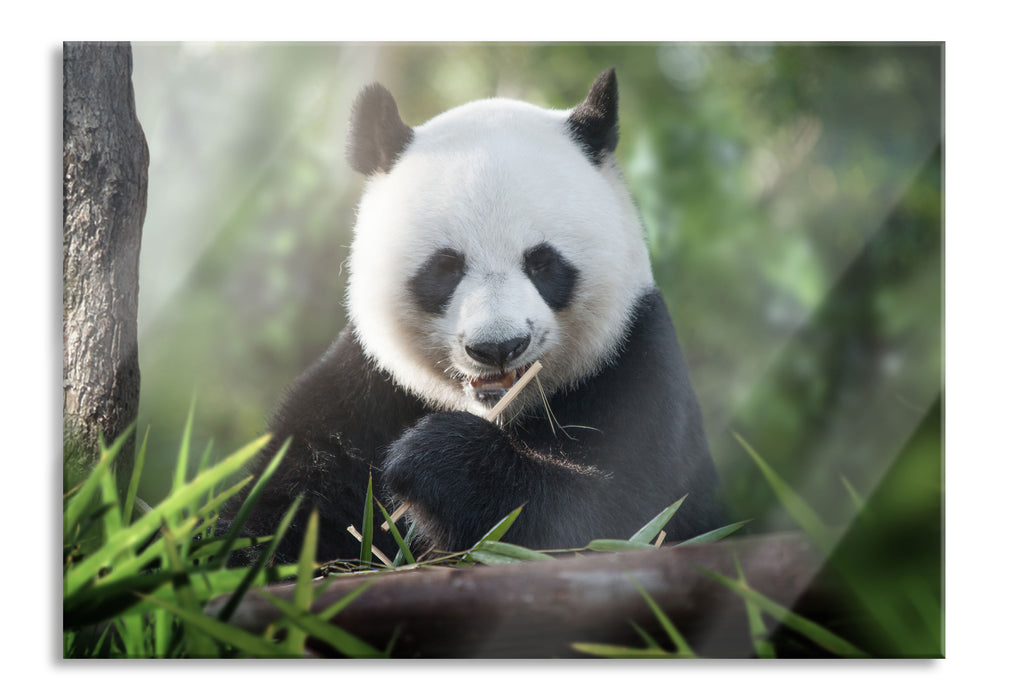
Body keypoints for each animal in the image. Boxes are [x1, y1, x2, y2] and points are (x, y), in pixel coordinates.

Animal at [227, 69, 723, 564]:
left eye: (542, 263)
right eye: (446, 267)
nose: (498, 347)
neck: (498, 411)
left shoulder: (634, 366)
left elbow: (619, 516)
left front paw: (435, 459)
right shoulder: (366, 392)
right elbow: (281, 503)